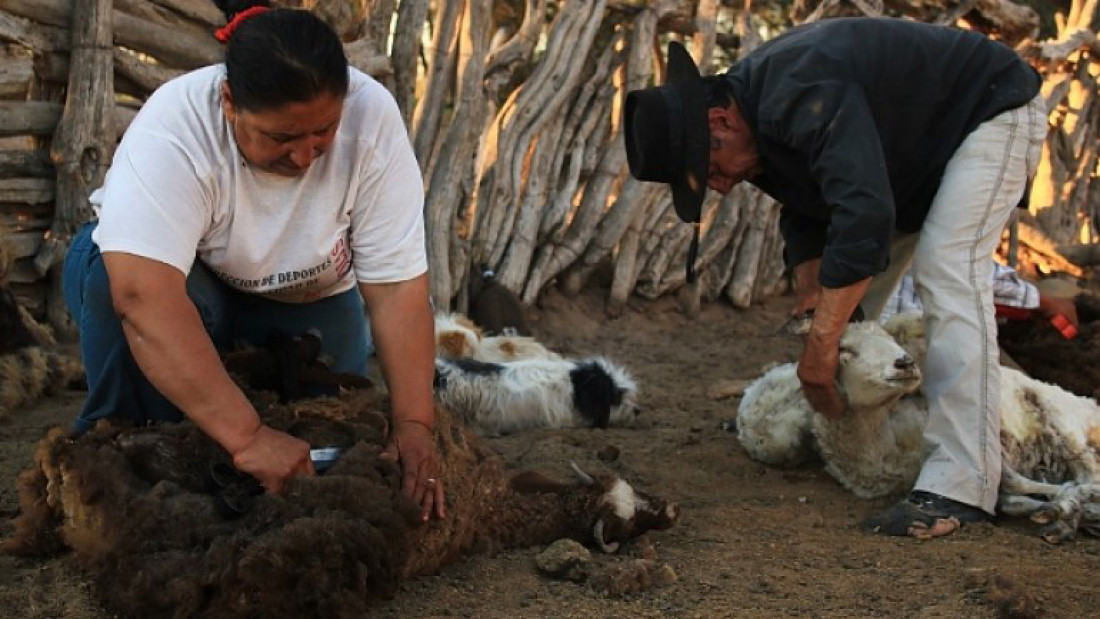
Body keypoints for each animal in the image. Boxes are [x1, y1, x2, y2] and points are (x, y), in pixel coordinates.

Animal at [739, 316, 1100, 545]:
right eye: (845, 350)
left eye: (892, 341)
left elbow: (1020, 484)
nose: (905, 363)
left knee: (1088, 475)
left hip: (1060, 423)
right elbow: (1010, 498)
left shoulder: (991, 448)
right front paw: (1056, 510)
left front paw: (1062, 510)